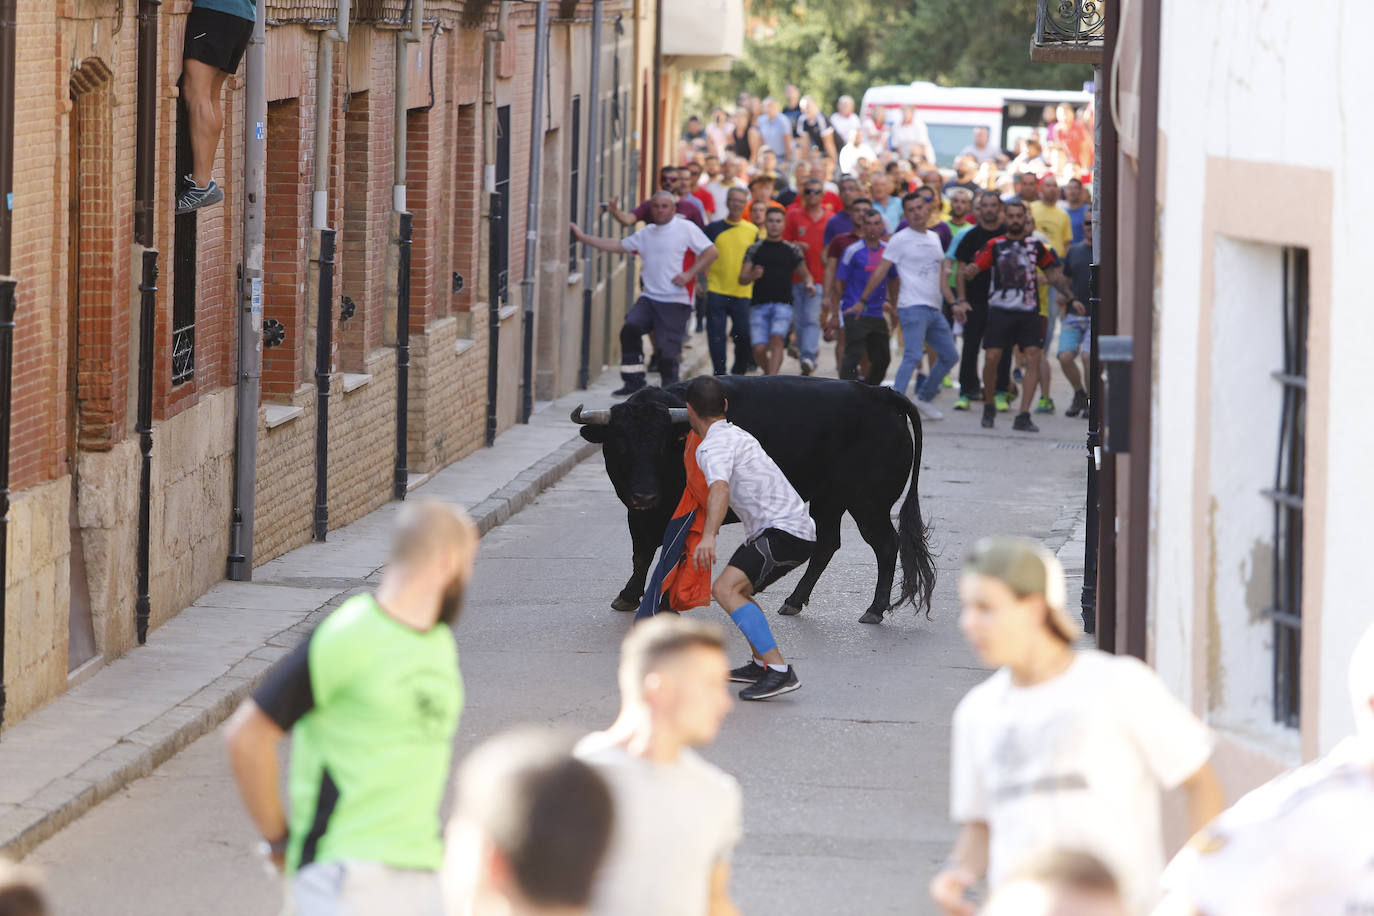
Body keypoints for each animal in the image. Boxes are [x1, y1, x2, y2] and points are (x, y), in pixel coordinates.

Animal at [568, 373, 934, 623]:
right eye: (619, 444)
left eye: (661, 446)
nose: (645, 494)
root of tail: (878, 393)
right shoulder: (639, 513)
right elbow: (641, 554)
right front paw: (629, 595)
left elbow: (673, 552)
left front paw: (665, 600)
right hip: (830, 499)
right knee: (828, 543)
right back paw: (794, 601)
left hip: (868, 502)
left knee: (885, 544)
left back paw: (874, 610)